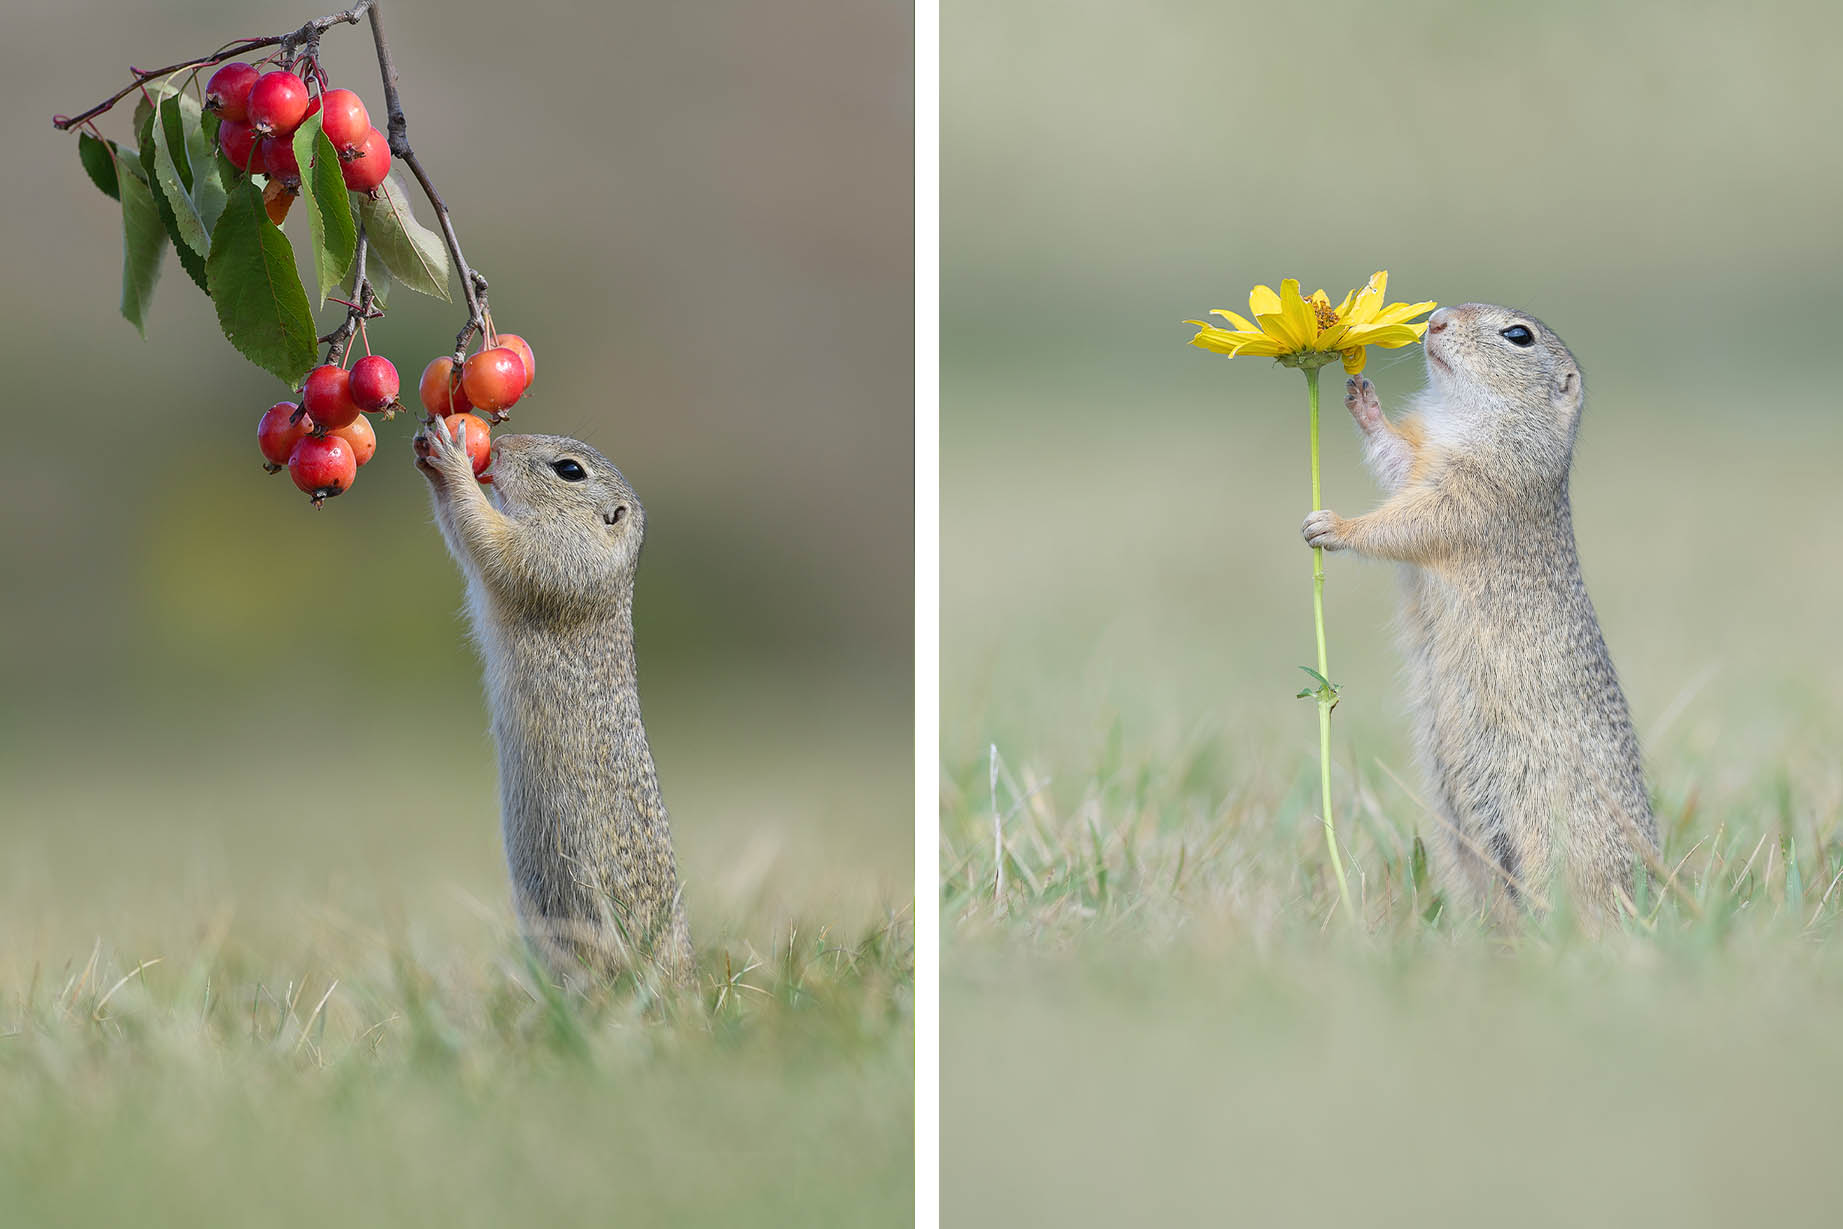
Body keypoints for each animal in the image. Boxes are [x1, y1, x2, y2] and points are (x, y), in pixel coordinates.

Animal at [1300, 303, 1656, 919]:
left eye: (1519, 335)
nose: (1436, 320)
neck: (1465, 419)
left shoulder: (1474, 492)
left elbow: (1407, 524)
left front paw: (1333, 526)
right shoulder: (1422, 465)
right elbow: (1397, 459)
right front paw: (1363, 400)